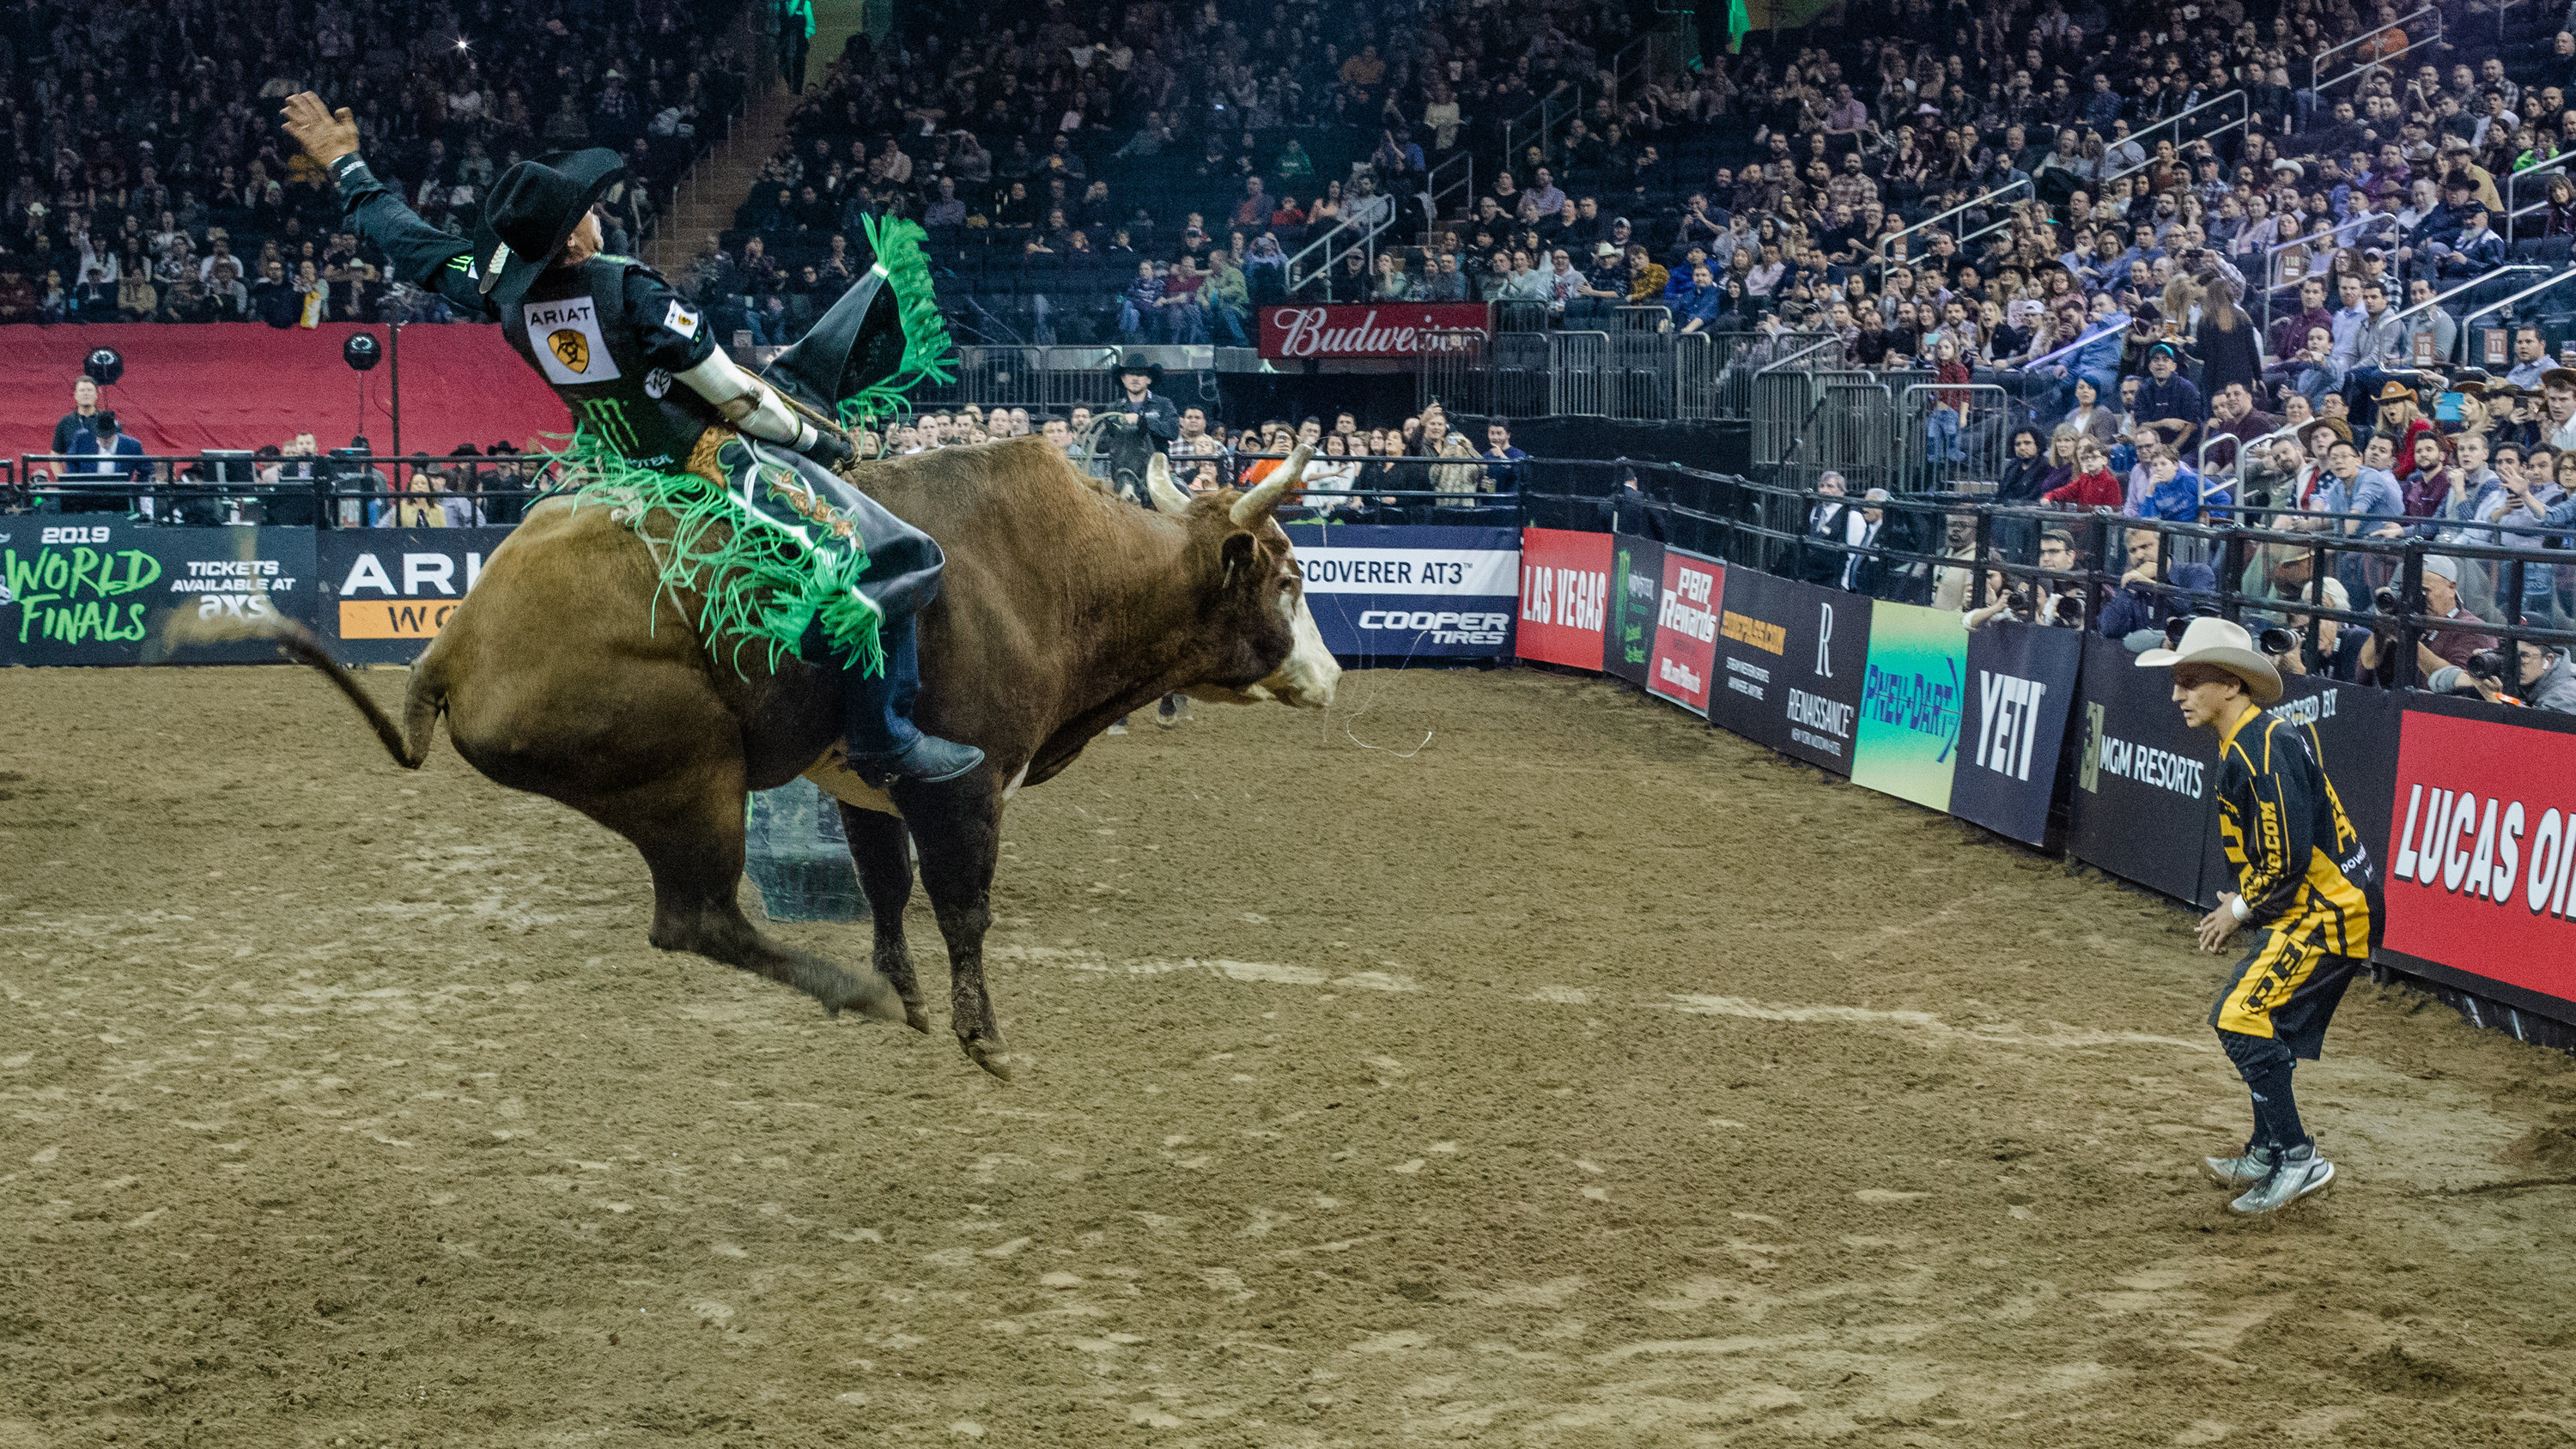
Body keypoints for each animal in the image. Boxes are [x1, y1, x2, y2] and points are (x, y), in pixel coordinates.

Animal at [282, 442, 1340, 1076]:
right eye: (1290, 579)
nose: (1332, 675)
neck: (1054, 571)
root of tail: (455, 643)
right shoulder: (969, 784)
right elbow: (963, 905)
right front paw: (981, 1036)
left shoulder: (868, 786)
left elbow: (885, 889)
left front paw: (911, 997)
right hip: (694, 774)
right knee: (695, 919)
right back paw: (848, 993)